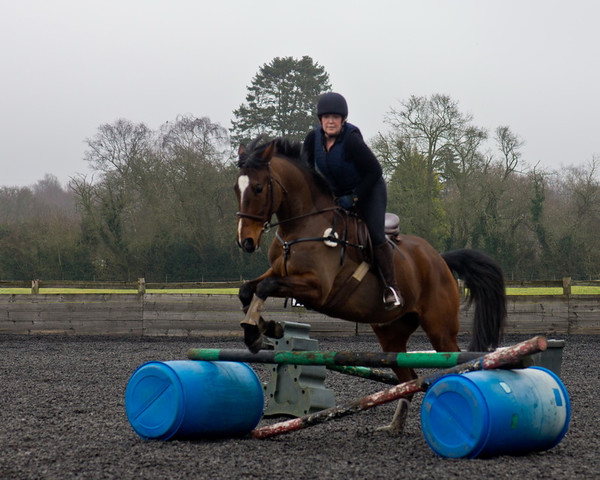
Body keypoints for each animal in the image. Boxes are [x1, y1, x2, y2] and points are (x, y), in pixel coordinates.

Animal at [234, 136, 506, 436]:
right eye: (236, 188)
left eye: (258, 188)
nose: (246, 241)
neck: (303, 226)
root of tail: (440, 260)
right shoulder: (279, 271)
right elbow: (248, 289)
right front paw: (259, 329)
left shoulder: (317, 288)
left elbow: (265, 287)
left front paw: (260, 328)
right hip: (391, 333)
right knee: (408, 377)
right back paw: (394, 426)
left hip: (440, 329)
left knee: (455, 361)